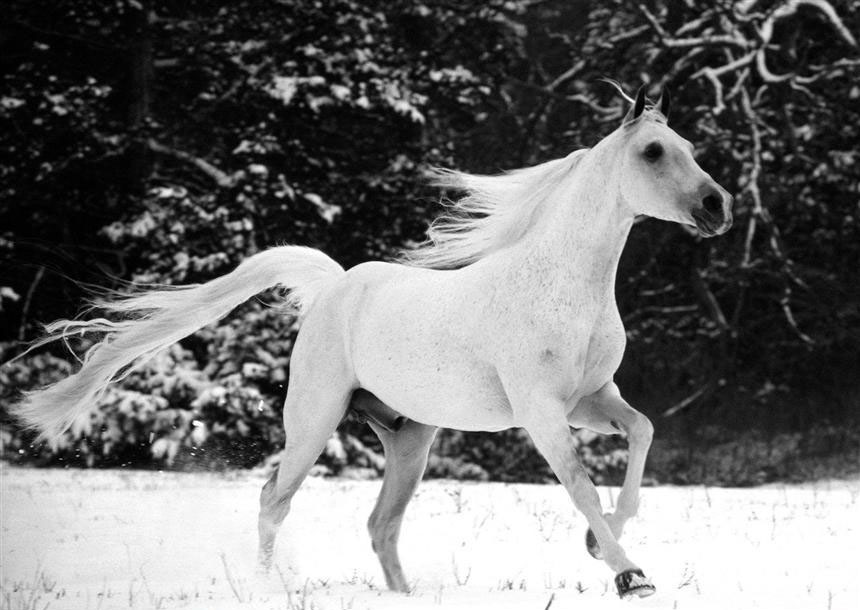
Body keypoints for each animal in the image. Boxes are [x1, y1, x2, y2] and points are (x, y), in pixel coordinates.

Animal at [11, 86, 733, 599]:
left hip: (411, 438)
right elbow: (580, 483)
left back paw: (403, 595)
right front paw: (629, 574)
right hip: (314, 418)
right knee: (275, 499)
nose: (717, 206)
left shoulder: (592, 398)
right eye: (653, 153)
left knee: (380, 525)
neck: (561, 285)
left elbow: (641, 435)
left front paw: (595, 543)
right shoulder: (542, 412)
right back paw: (269, 587)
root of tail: (334, 286)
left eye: (690, 146)